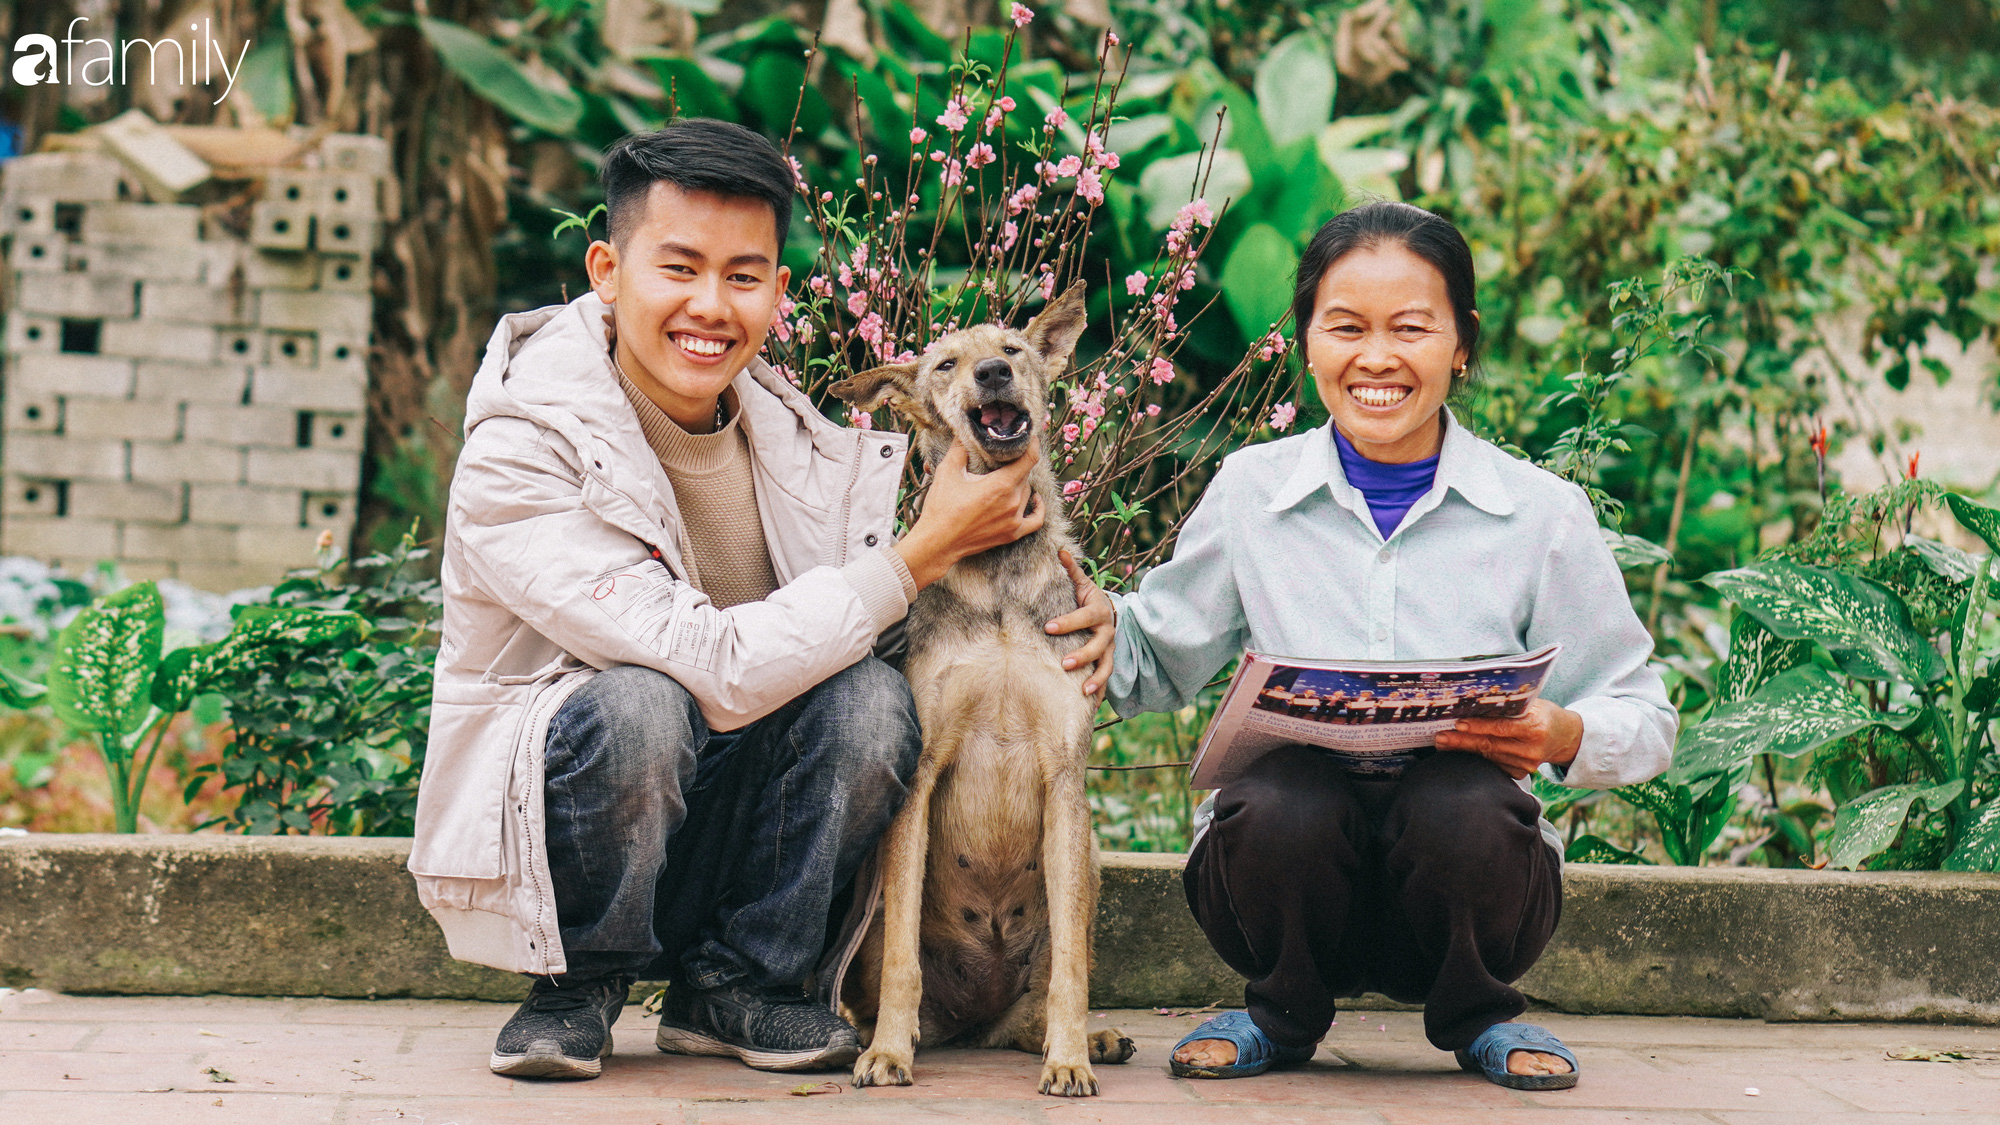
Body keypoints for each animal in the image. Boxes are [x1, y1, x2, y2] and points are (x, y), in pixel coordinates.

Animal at [832, 282, 1144, 1096]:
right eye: (946, 363)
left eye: (1013, 347)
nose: (994, 374)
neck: (999, 567)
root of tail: (975, 1022)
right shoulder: (922, 771)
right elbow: (902, 958)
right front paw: (889, 1053)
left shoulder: (1065, 775)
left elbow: (1071, 970)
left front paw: (1068, 1058)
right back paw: (863, 1036)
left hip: (1088, 861)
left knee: (1041, 994)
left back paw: (1083, 1040)